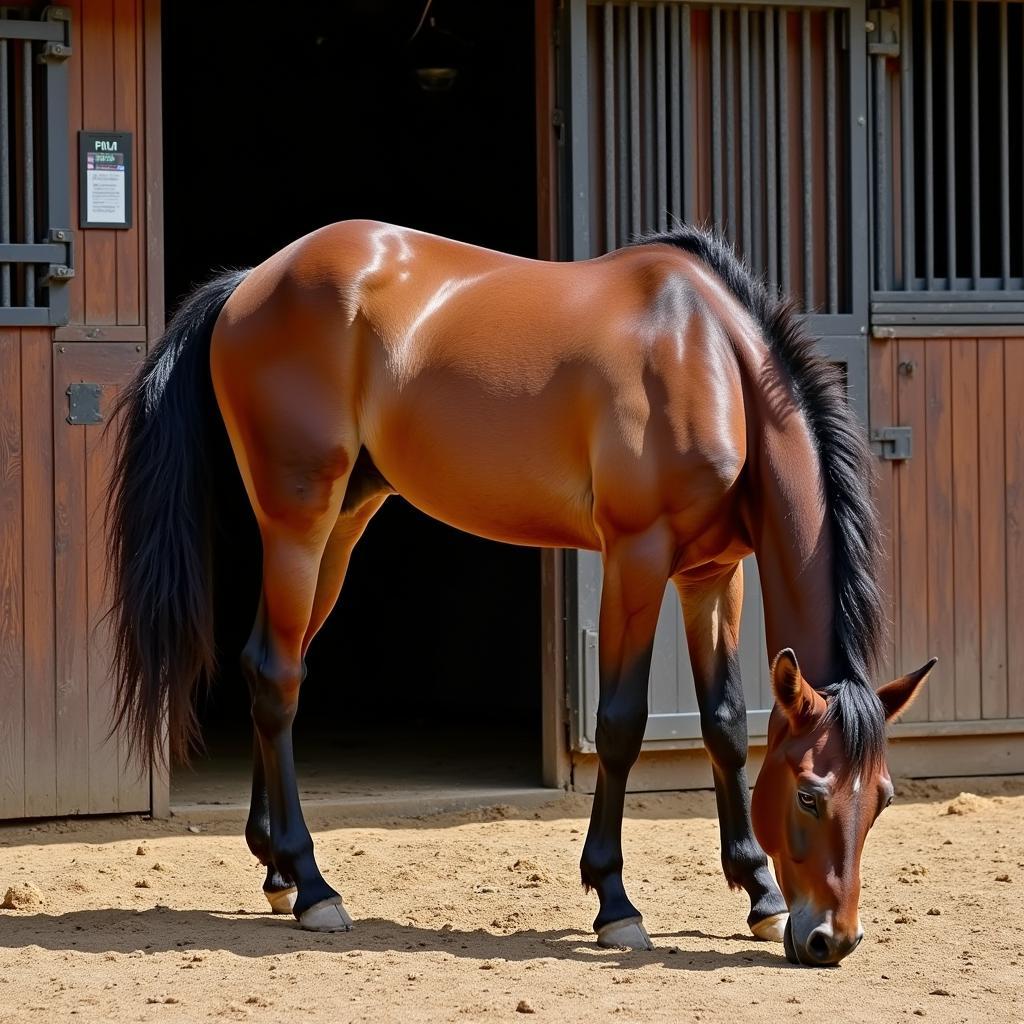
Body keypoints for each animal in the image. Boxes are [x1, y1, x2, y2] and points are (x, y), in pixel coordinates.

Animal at [110, 220, 937, 962]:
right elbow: (620, 724)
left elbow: (727, 724)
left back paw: (278, 872)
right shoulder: (636, 558)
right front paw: (615, 903)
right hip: (298, 522)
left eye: (883, 797)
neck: (709, 360)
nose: (832, 941)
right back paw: (314, 886)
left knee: (265, 665)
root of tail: (251, 281)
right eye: (809, 794)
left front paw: (759, 894)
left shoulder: (711, 577)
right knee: (278, 679)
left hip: (341, 525)